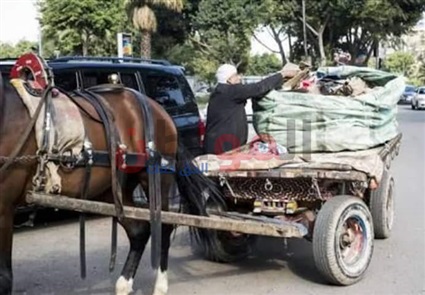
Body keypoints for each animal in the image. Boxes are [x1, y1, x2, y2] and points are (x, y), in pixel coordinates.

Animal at [0, 71, 224, 295]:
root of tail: (160, 110)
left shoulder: (5, 208)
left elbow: (5, 277)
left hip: (156, 179)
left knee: (163, 226)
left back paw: (160, 286)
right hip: (113, 190)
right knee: (139, 231)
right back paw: (124, 284)